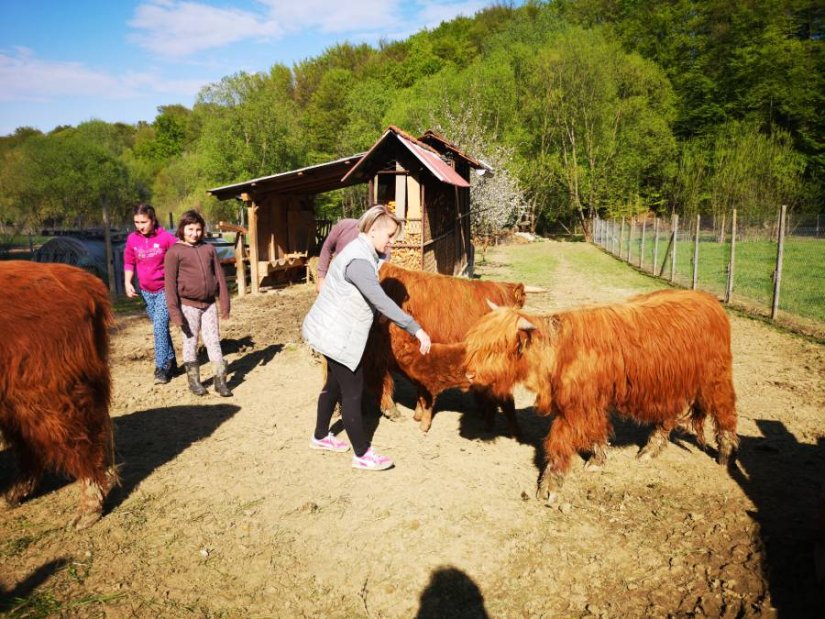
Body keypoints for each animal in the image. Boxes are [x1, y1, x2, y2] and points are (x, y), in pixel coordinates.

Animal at [464, 290, 740, 504]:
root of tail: (709, 300)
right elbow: (596, 432)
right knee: (667, 417)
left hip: (715, 378)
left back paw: (725, 454)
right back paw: (650, 449)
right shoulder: (590, 403)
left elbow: (559, 443)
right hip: (670, 385)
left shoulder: (575, 408)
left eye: (497, 347)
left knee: (725, 411)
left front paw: (549, 487)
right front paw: (598, 459)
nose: (468, 373)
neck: (556, 355)